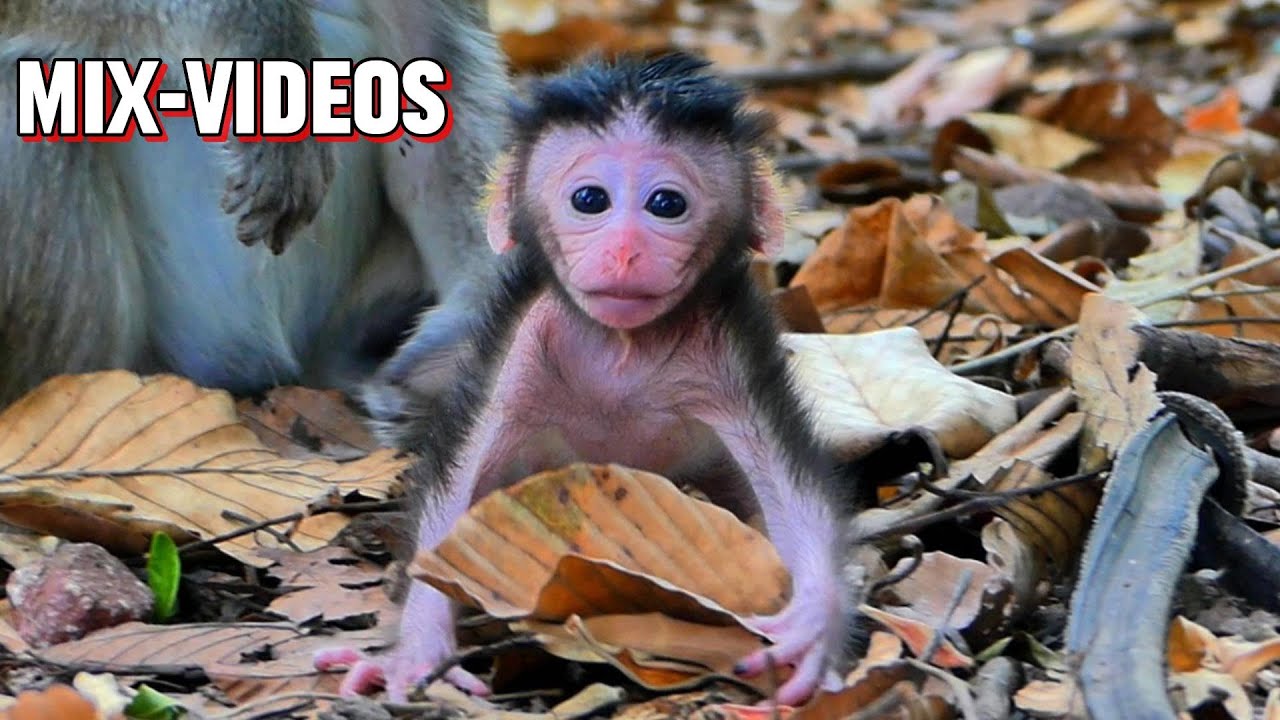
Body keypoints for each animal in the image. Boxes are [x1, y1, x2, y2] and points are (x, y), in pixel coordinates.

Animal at [316, 53, 863, 706]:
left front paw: (812, 625)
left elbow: (786, 480)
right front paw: (418, 652)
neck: (620, 349)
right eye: (589, 199)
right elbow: (456, 493)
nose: (625, 251)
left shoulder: (730, 343)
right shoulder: (525, 339)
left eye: (666, 205)